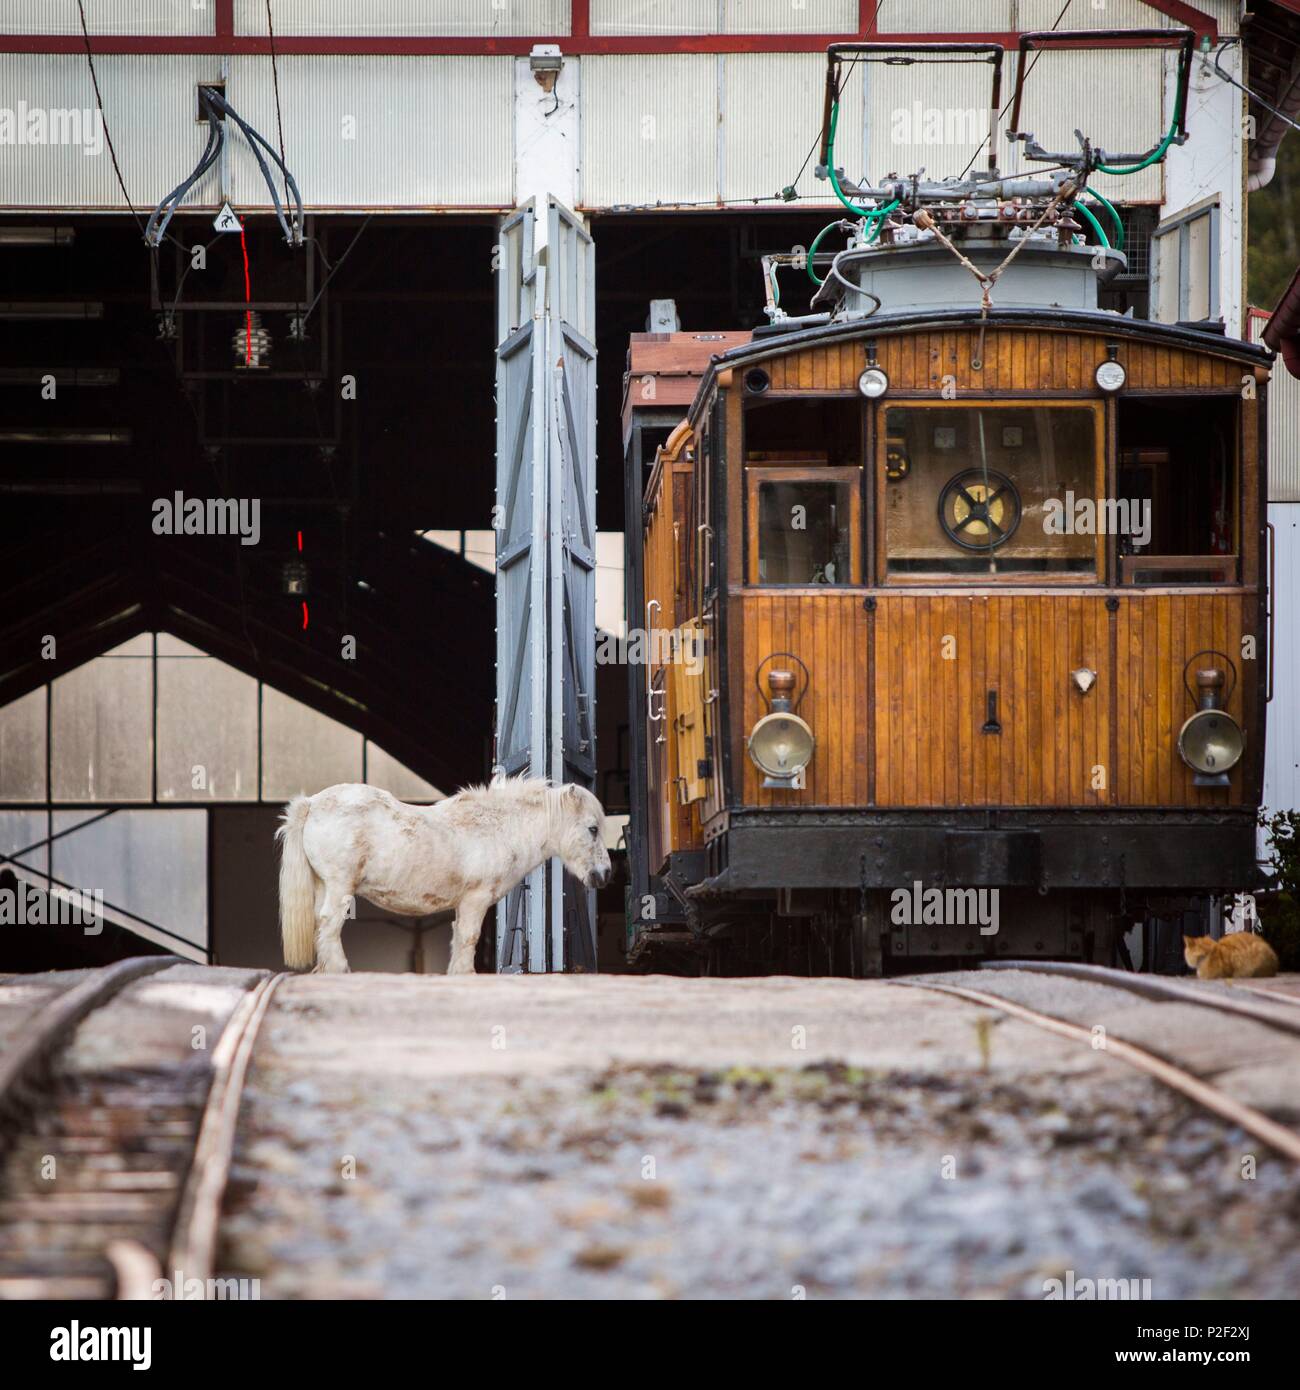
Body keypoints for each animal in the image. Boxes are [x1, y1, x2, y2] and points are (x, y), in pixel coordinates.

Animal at [276, 778, 611, 973]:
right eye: (593, 829)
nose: (605, 874)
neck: (498, 828)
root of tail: (311, 804)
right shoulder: (475, 900)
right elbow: (468, 939)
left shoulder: (463, 905)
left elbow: (460, 939)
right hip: (340, 886)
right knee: (329, 925)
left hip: (324, 885)